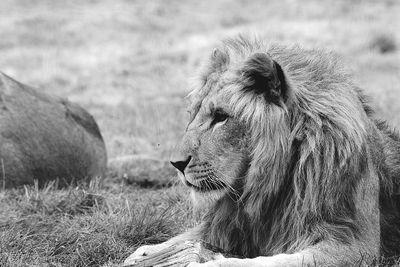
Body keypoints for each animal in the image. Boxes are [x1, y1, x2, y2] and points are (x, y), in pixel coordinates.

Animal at [123, 36, 400, 267]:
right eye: (193, 115)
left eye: (221, 117)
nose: (176, 163)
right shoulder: (230, 223)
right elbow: (187, 235)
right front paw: (145, 252)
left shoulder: (354, 243)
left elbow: (275, 261)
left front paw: (212, 263)